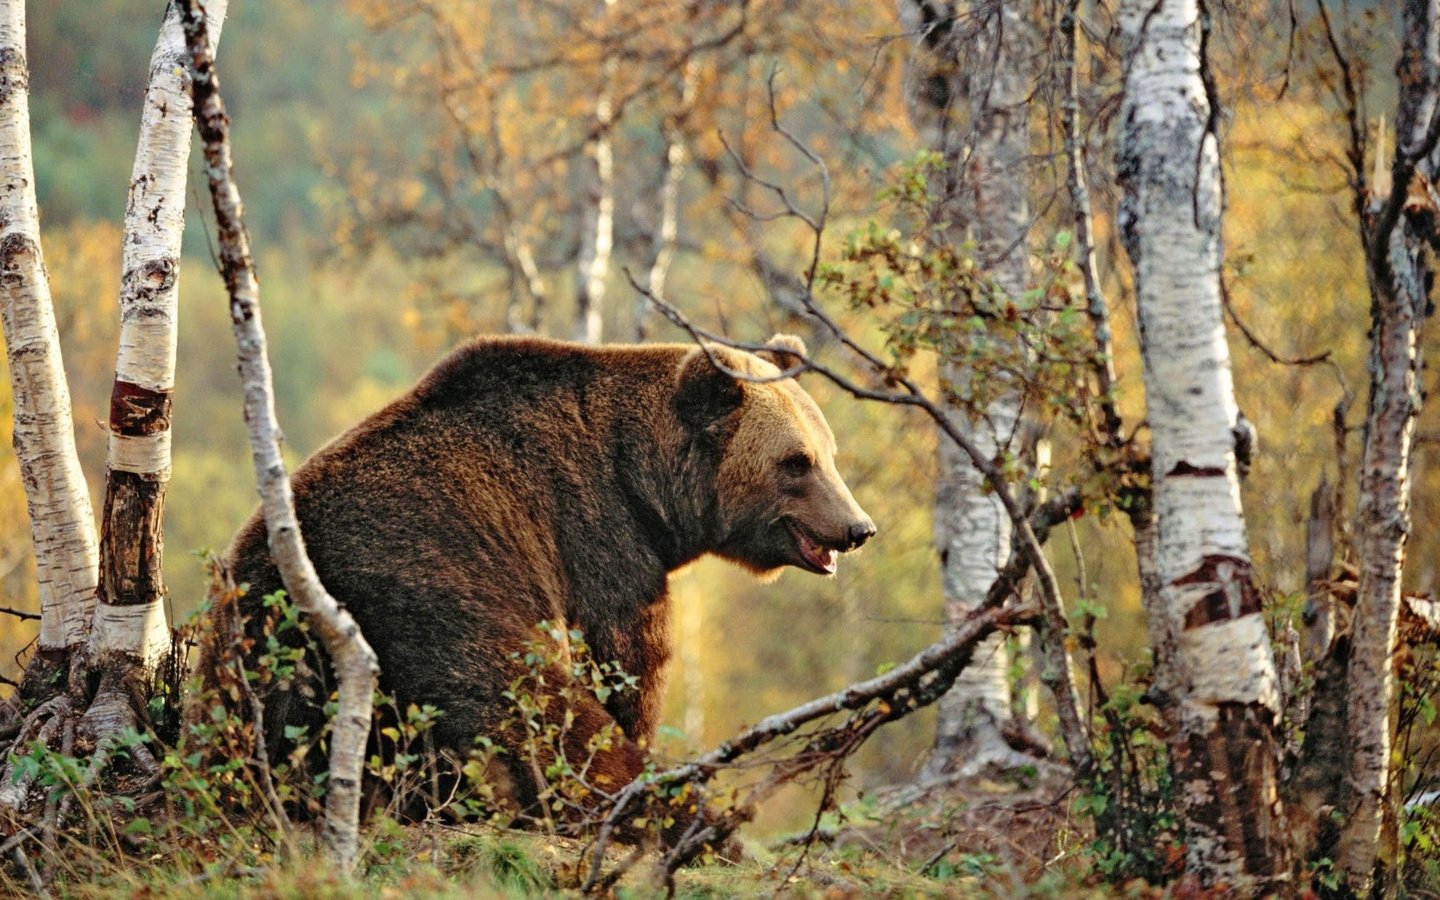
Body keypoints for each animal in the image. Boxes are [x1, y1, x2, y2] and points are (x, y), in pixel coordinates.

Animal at [223, 334, 869, 829]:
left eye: (831, 451)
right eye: (795, 462)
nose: (857, 527)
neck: (643, 485)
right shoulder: (596, 543)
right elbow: (625, 670)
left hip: (269, 668)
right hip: (434, 610)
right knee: (543, 724)